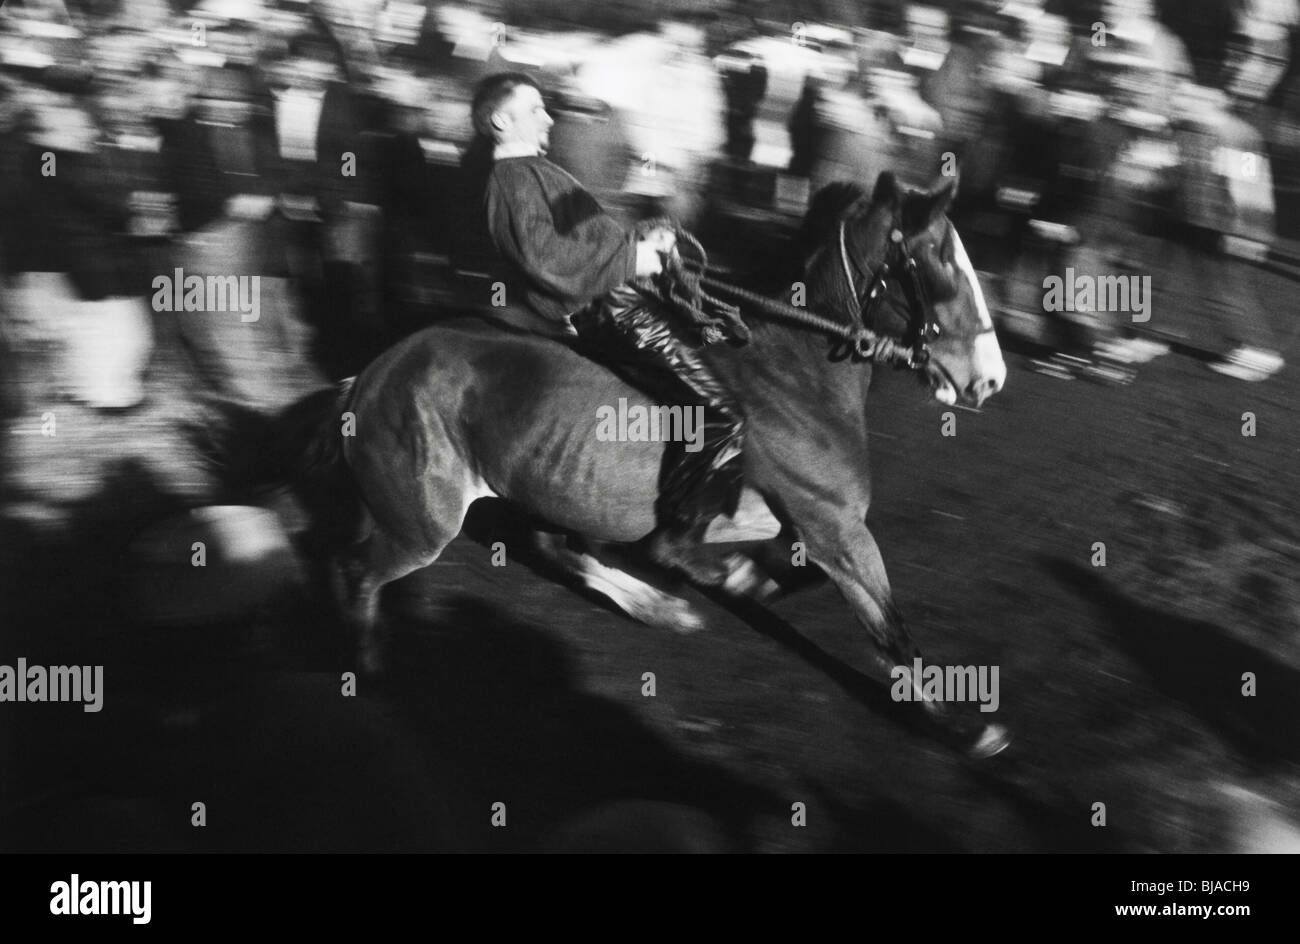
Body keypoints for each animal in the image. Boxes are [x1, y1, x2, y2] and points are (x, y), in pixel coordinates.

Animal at [213, 171, 1008, 759]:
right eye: (939, 261)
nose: (989, 379)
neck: (796, 376)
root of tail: (370, 376)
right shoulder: (834, 524)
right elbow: (887, 624)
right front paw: (966, 728)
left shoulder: (802, 526)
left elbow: (786, 575)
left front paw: (732, 580)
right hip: (423, 523)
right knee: (360, 571)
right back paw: (370, 673)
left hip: (538, 488)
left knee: (548, 546)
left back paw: (660, 606)